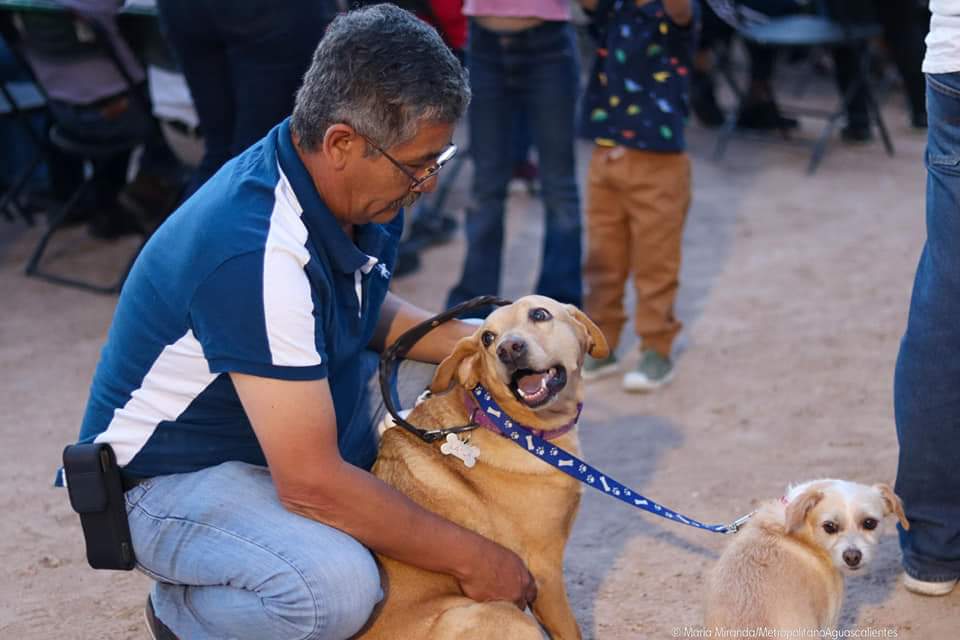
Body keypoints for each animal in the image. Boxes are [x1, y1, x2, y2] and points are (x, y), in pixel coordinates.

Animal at [360, 296, 608, 640]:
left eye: (539, 314)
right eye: (488, 338)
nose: (509, 349)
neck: (505, 422)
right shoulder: (544, 570)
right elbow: (570, 631)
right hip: (503, 613)